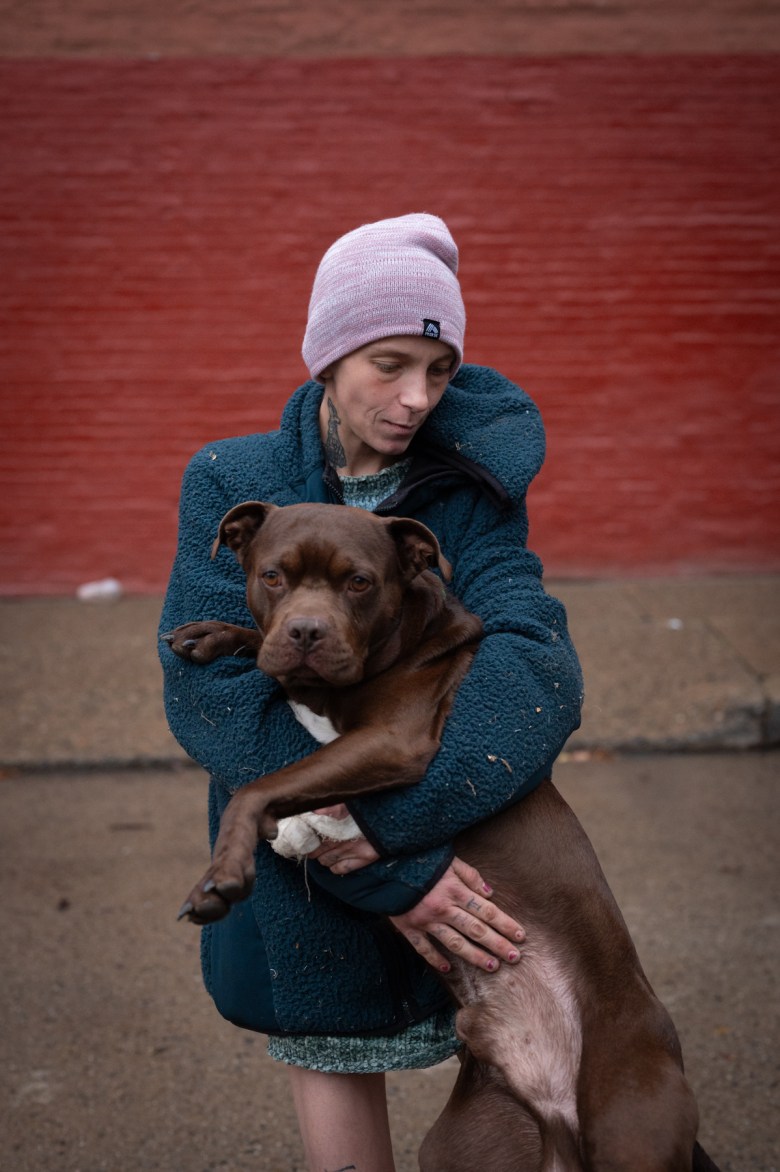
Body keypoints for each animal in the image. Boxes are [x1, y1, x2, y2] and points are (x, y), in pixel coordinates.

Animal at [163, 499, 716, 1172]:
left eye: (359, 581)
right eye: (272, 576)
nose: (306, 632)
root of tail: (556, 1109)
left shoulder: (391, 741)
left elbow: (261, 786)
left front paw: (224, 875)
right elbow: (272, 682)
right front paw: (214, 634)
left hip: (627, 1124)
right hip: (466, 1141)